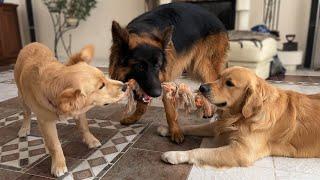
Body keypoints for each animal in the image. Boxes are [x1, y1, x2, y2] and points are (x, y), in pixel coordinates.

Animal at [14, 42, 127, 177]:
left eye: (105, 78)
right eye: (101, 86)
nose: (125, 86)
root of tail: (32, 43)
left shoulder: (80, 111)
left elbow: (84, 127)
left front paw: (90, 140)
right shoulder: (45, 121)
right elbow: (54, 144)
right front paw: (58, 164)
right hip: (22, 98)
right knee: (26, 114)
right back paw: (24, 129)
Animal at [109, 2, 229, 143]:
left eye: (157, 65)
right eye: (139, 67)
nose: (157, 93)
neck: (143, 31)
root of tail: (215, 17)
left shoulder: (164, 80)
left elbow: (169, 109)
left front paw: (175, 131)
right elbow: (141, 104)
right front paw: (134, 118)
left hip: (203, 65)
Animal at [159, 66, 320, 169]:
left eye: (229, 83)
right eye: (219, 77)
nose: (202, 87)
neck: (242, 116)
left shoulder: (241, 151)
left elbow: (199, 151)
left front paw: (175, 155)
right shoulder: (220, 125)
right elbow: (193, 127)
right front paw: (171, 130)